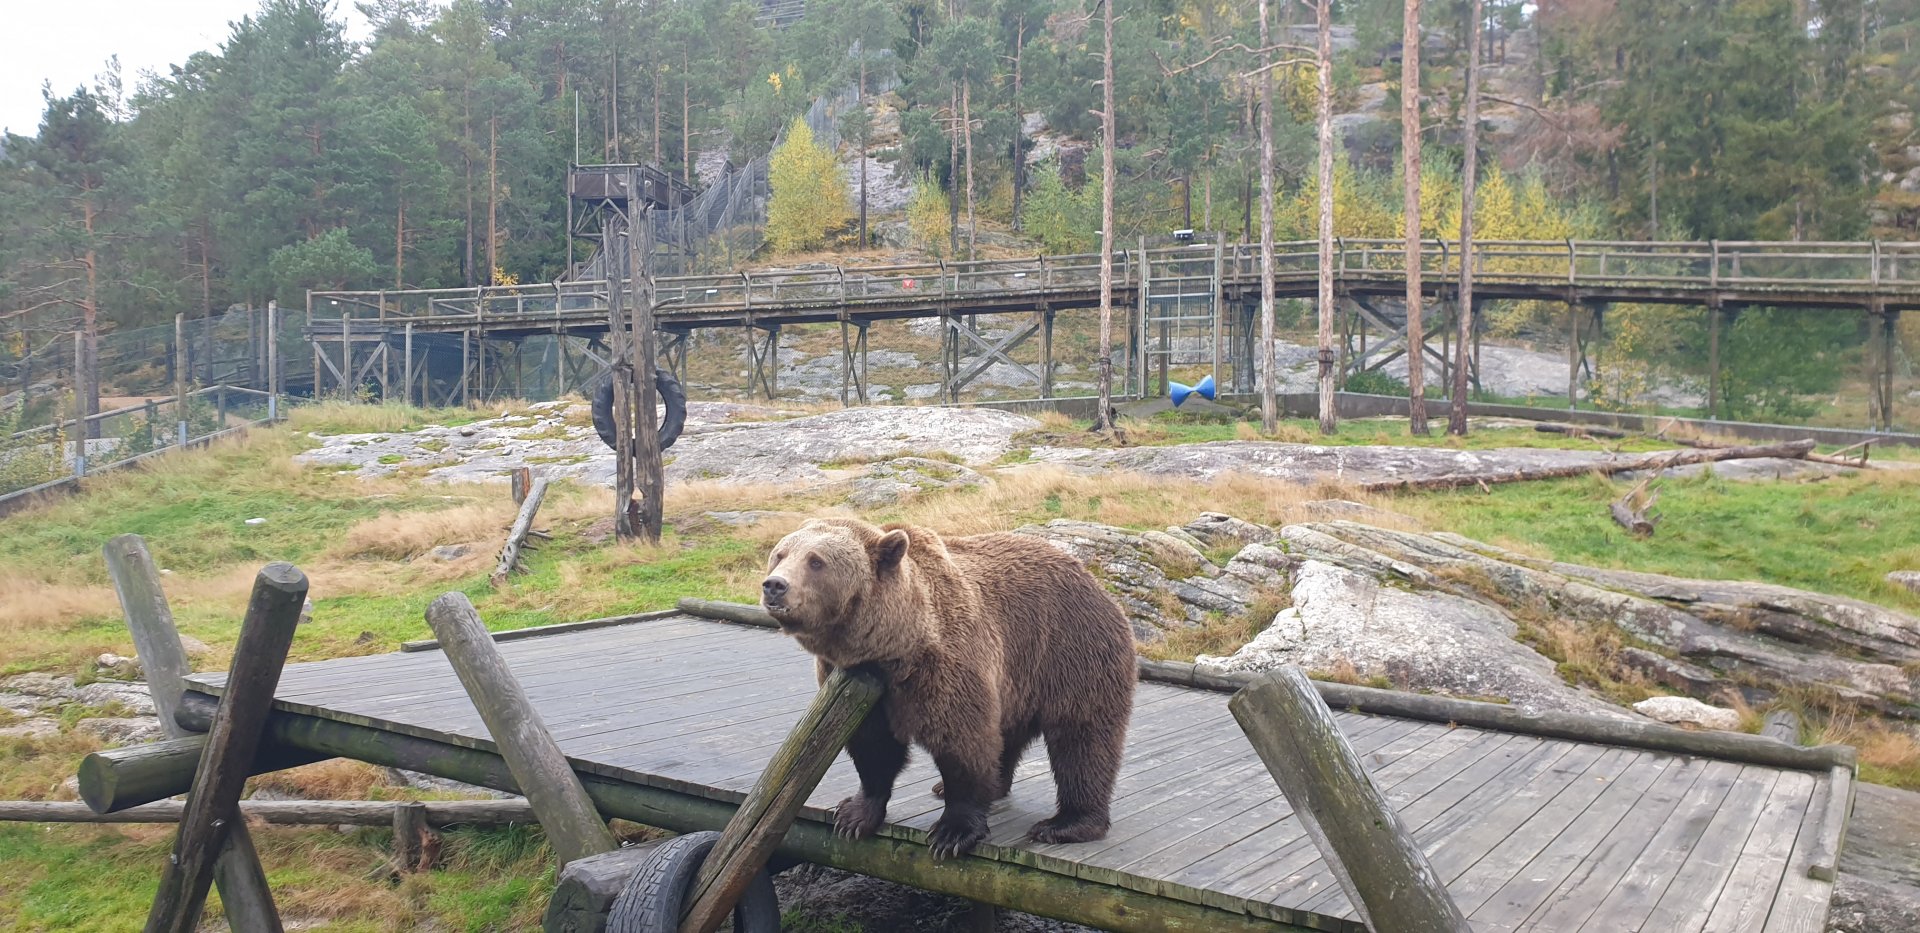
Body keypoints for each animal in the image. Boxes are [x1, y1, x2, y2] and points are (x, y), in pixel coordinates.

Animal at [760, 517, 1137, 859]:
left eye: (816, 561)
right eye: (780, 554)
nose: (774, 585)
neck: (893, 649)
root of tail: (1092, 579)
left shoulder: (946, 666)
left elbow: (962, 743)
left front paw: (952, 832)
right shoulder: (856, 680)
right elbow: (873, 746)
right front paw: (854, 815)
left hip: (1070, 652)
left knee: (1082, 738)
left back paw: (1067, 823)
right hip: (1018, 681)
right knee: (1009, 734)